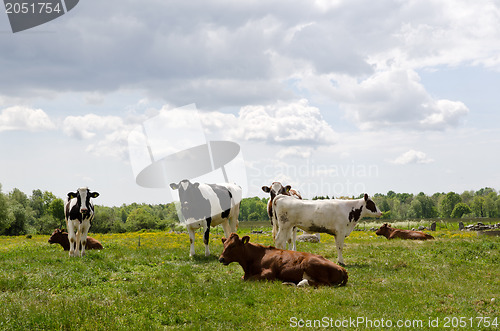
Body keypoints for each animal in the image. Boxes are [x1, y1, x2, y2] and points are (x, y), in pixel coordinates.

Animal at [219, 233, 348, 288]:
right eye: (224, 244)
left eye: (233, 245)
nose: (221, 258)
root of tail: (342, 268)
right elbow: (243, 279)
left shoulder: (269, 273)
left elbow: (249, 280)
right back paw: (288, 282)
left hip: (309, 263)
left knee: (324, 284)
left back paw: (301, 283)